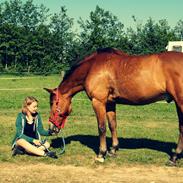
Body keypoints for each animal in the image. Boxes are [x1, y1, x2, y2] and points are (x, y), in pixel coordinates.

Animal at [45, 47, 183, 164]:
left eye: (52, 103)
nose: (51, 129)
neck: (92, 67)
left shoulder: (98, 102)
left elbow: (101, 127)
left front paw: (101, 154)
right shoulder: (110, 103)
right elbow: (112, 125)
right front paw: (113, 150)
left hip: (180, 103)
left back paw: (174, 157)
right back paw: (175, 156)